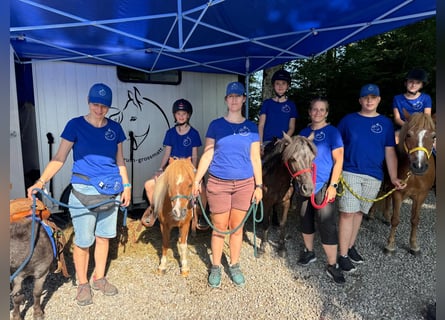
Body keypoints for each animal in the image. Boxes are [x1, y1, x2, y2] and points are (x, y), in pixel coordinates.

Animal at [382, 112, 434, 255]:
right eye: (409, 135)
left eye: (434, 136)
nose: (419, 166)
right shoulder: (398, 192)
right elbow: (395, 219)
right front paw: (390, 245)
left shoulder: (421, 195)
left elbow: (415, 220)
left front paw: (414, 245)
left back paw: (386, 217)